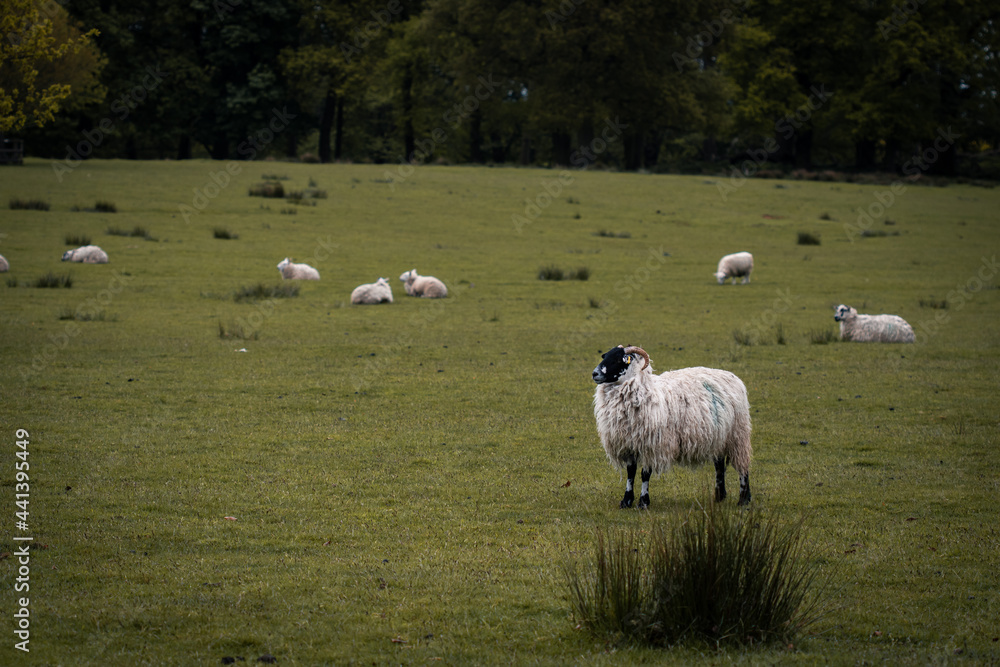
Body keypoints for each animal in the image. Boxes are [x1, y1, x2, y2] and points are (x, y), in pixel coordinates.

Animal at [592, 348, 752, 508]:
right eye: (605, 356)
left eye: (619, 359)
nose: (595, 374)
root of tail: (733, 377)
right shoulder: (628, 444)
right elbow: (630, 473)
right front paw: (626, 500)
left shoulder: (653, 445)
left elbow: (645, 474)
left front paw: (643, 502)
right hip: (719, 437)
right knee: (719, 465)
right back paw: (719, 496)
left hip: (738, 434)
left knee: (742, 466)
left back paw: (744, 499)